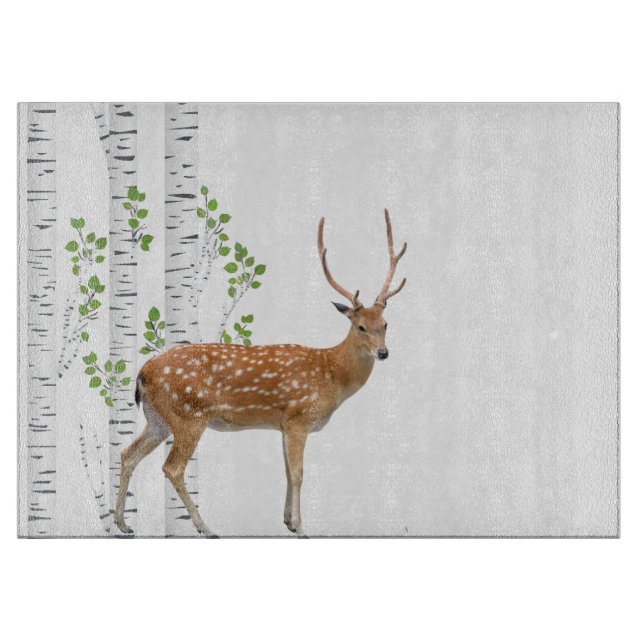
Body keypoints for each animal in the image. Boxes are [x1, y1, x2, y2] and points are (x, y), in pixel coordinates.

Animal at [114, 209, 407, 537]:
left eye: (386, 324)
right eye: (360, 326)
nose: (383, 352)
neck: (331, 373)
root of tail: (141, 373)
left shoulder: (283, 422)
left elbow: (287, 472)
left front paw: (288, 522)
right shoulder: (298, 417)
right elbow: (298, 473)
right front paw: (301, 528)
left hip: (157, 418)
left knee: (128, 454)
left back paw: (122, 523)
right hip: (188, 414)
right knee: (172, 467)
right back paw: (206, 527)